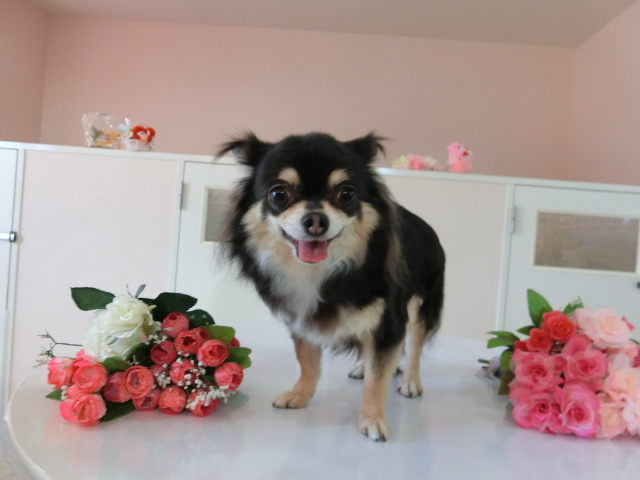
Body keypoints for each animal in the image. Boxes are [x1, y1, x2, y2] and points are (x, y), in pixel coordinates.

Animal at [218, 132, 445, 441]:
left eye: (346, 194)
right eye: (279, 194)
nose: (315, 220)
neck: (321, 272)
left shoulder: (390, 321)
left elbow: (378, 378)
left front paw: (373, 419)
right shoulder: (302, 318)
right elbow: (308, 361)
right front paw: (301, 394)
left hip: (422, 307)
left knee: (415, 347)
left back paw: (410, 381)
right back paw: (362, 366)